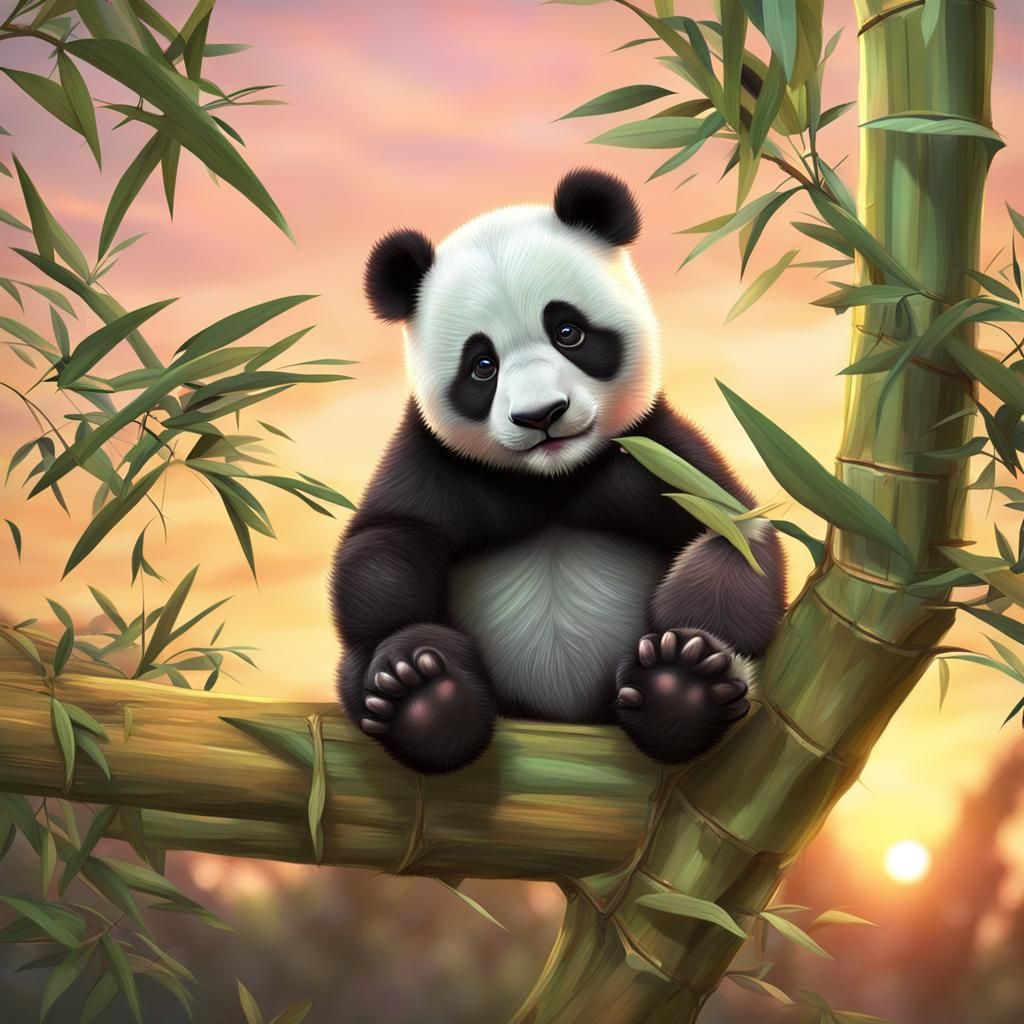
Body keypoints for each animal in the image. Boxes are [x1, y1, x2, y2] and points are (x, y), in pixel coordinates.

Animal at [331, 168, 786, 775]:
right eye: (482, 366)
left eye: (568, 332)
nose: (541, 415)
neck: (553, 481)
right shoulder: (435, 464)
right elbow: (381, 554)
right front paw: (406, 666)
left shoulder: (652, 454)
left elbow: (733, 534)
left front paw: (687, 655)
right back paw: (425, 697)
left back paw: (680, 688)